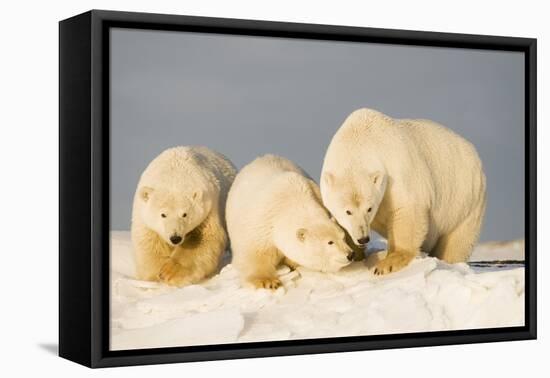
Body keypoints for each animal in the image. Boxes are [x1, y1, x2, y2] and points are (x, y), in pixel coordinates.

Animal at [134, 147, 239, 286]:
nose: (175, 238)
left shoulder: (208, 208)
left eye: (184, 214)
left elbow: (204, 239)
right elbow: (150, 243)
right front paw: (156, 275)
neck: (174, 174)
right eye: (163, 214)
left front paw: (169, 272)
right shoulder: (143, 216)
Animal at [227, 154, 358, 290]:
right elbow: (254, 254)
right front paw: (268, 281)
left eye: (343, 237)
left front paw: (292, 263)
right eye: (330, 242)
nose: (350, 254)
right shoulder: (261, 223)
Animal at [322, 108, 490, 276]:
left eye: (369, 208)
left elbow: (407, 209)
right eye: (348, 211)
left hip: (464, 201)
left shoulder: (397, 169)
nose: (363, 238)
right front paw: (354, 254)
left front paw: (388, 263)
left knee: (457, 242)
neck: (359, 139)